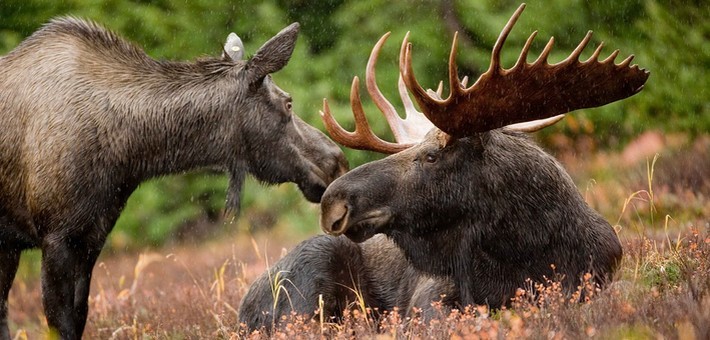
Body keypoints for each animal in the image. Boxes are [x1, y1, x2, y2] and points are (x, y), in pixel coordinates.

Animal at [0, 17, 350, 338]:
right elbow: (60, 323)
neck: (129, 153)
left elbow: (78, 316)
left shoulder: (90, 237)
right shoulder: (56, 237)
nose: (337, 161)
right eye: (288, 103)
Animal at [239, 3, 652, 332]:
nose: (333, 202)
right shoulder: (431, 297)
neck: (526, 250)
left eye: (431, 156)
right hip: (311, 272)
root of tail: (243, 310)